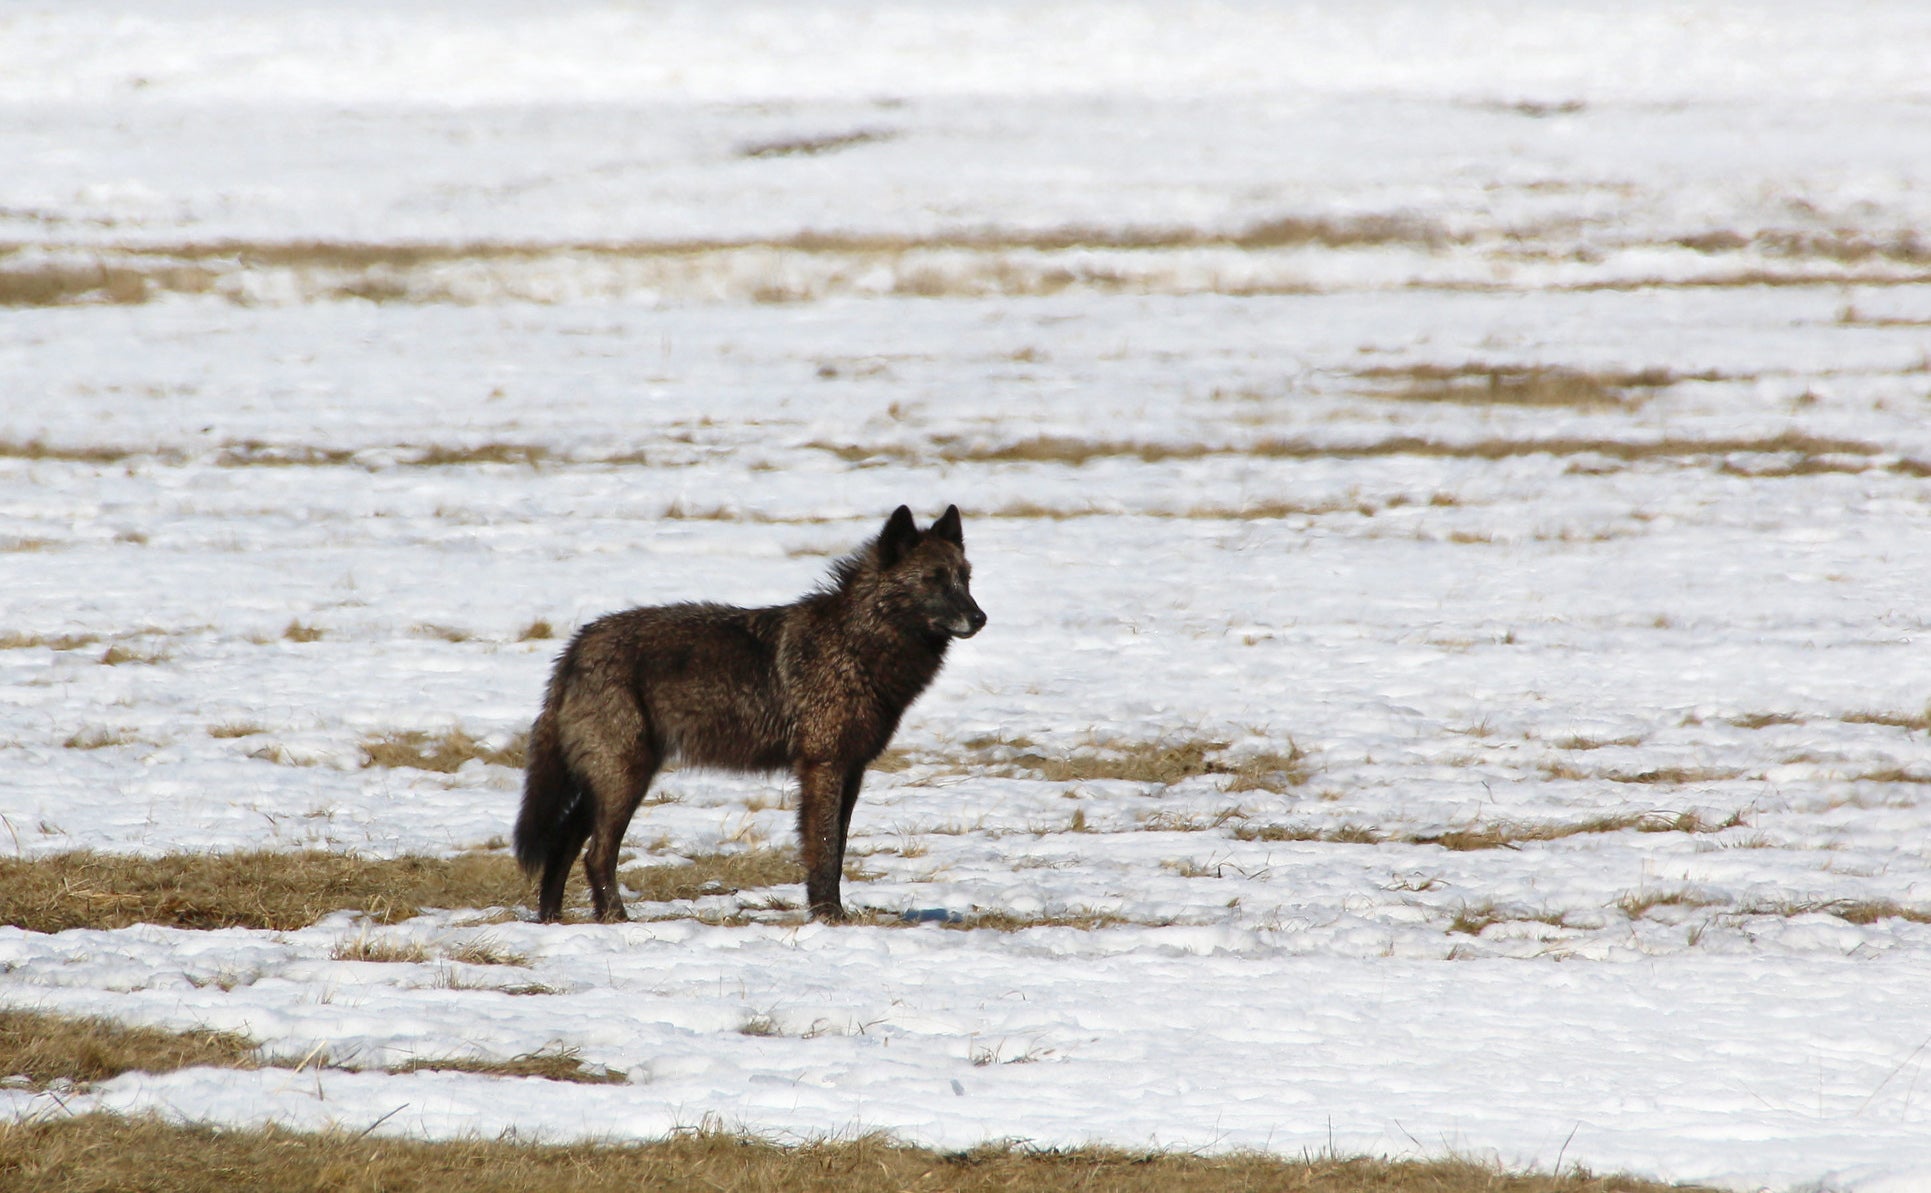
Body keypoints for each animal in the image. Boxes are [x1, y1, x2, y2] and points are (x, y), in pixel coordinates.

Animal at [513, 505, 985, 923]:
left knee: (564, 845)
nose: (980, 618)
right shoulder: (824, 766)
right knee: (597, 855)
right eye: (933, 581)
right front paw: (829, 917)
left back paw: (552, 920)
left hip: (607, 783)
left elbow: (837, 850)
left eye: (964, 579)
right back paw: (615, 920)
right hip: (624, 780)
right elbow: (825, 849)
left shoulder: (852, 770)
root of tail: (576, 646)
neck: (855, 644)